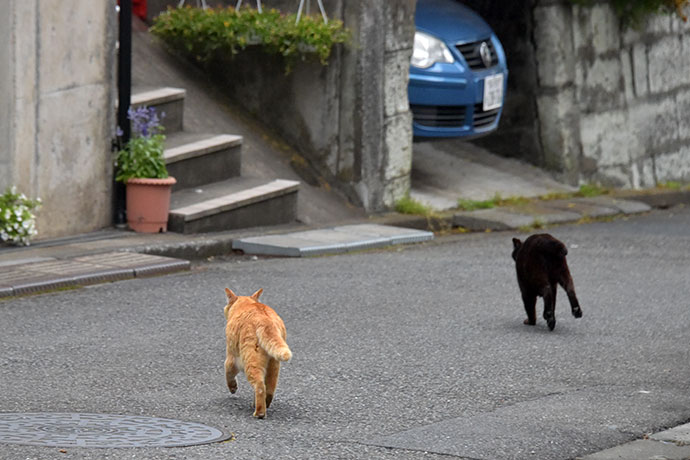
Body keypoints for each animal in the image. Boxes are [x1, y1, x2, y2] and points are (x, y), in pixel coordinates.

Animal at [223, 288, 290, 416]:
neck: (246, 304)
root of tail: (266, 320)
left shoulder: (231, 357)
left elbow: (228, 373)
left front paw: (233, 388)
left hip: (251, 361)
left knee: (259, 386)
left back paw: (259, 413)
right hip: (273, 364)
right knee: (269, 388)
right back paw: (264, 404)